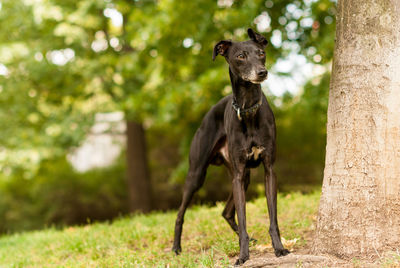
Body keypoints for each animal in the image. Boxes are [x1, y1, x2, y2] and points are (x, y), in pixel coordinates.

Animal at [171, 28, 288, 264]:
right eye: (241, 56)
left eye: (261, 53)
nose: (262, 73)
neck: (248, 111)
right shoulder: (238, 174)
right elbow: (243, 219)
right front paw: (243, 255)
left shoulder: (268, 170)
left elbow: (273, 218)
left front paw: (279, 248)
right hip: (198, 174)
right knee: (180, 214)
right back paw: (176, 248)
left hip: (243, 177)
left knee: (225, 212)